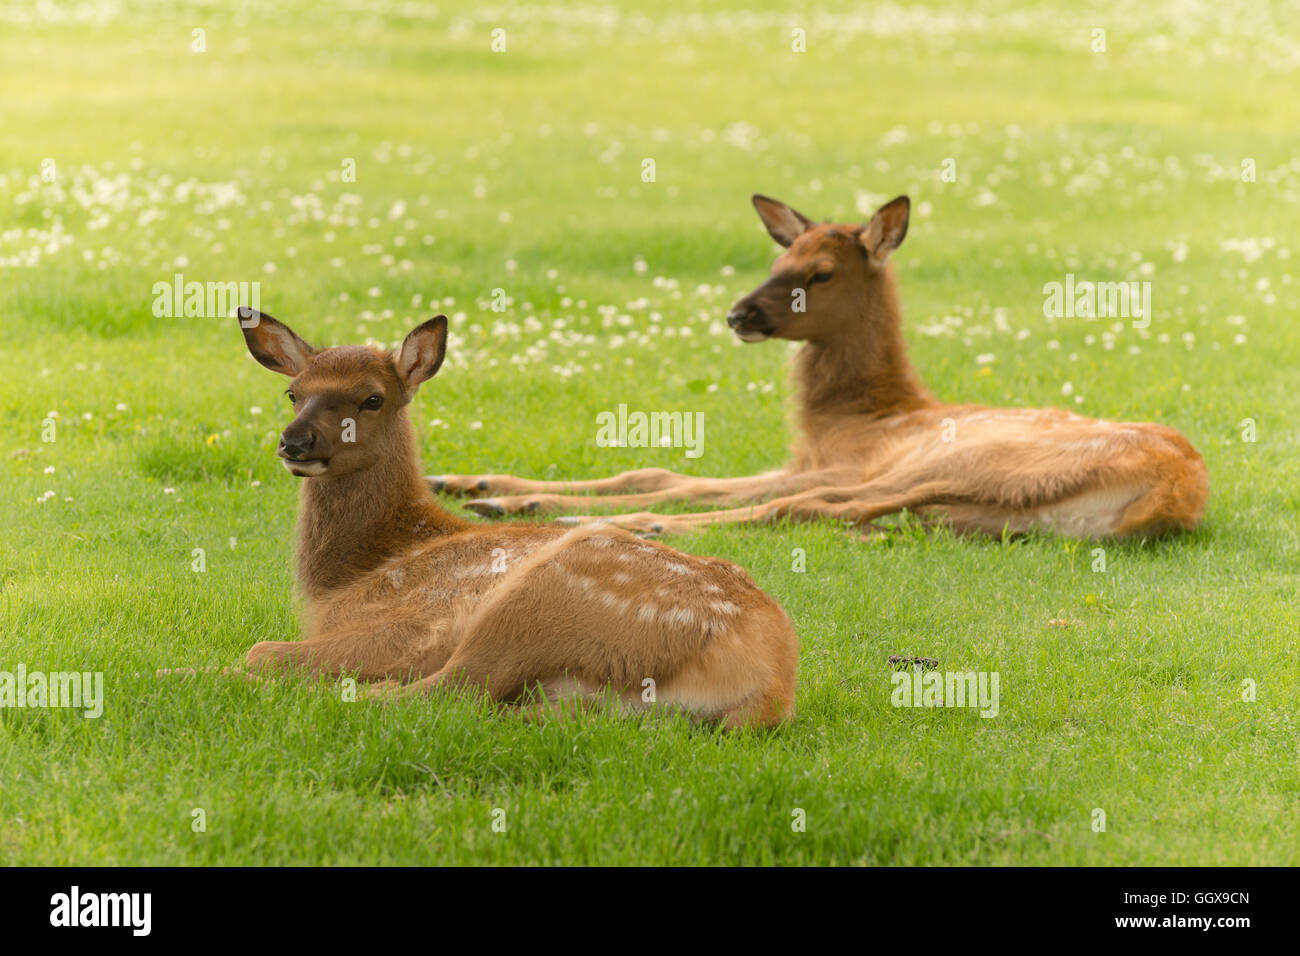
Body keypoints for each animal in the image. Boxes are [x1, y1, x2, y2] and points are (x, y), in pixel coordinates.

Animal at [237, 310, 795, 728]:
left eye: (372, 397)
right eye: (293, 392)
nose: (295, 441)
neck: (347, 580)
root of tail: (772, 685)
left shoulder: (420, 621)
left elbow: (261, 649)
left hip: (537, 601)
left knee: (446, 691)